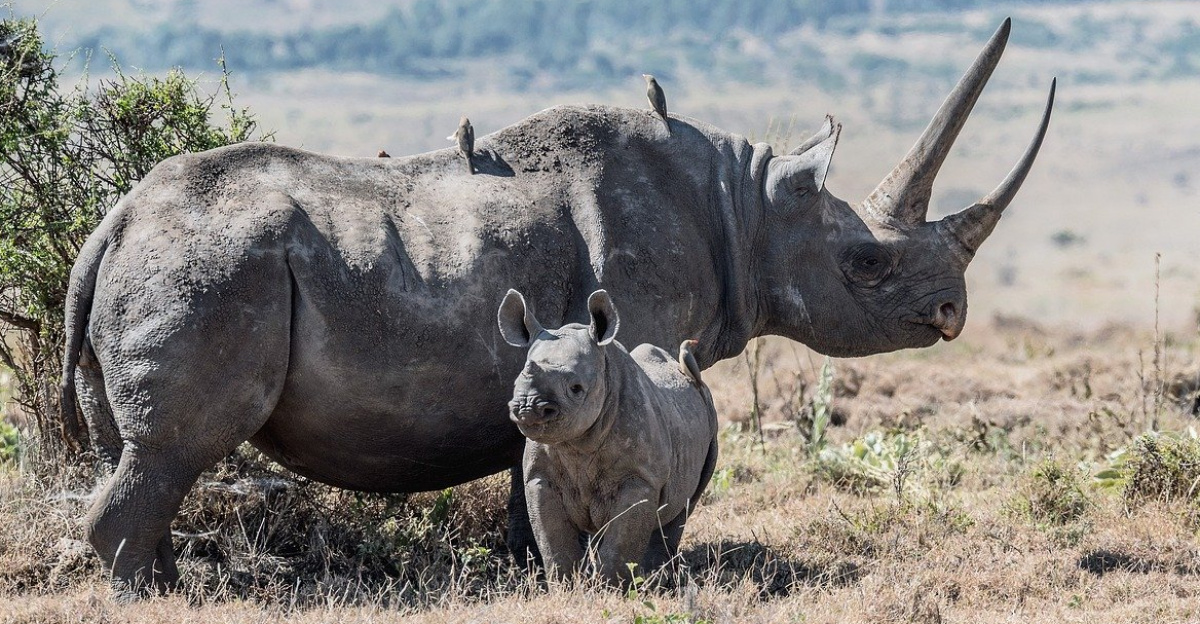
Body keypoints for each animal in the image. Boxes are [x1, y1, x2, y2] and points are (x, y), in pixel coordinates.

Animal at [499, 289, 718, 584]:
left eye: (576, 388)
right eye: (515, 383)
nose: (528, 408)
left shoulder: (641, 478)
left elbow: (620, 543)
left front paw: (610, 588)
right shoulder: (540, 476)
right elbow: (553, 541)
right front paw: (566, 586)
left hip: (709, 420)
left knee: (682, 509)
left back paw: (655, 580)